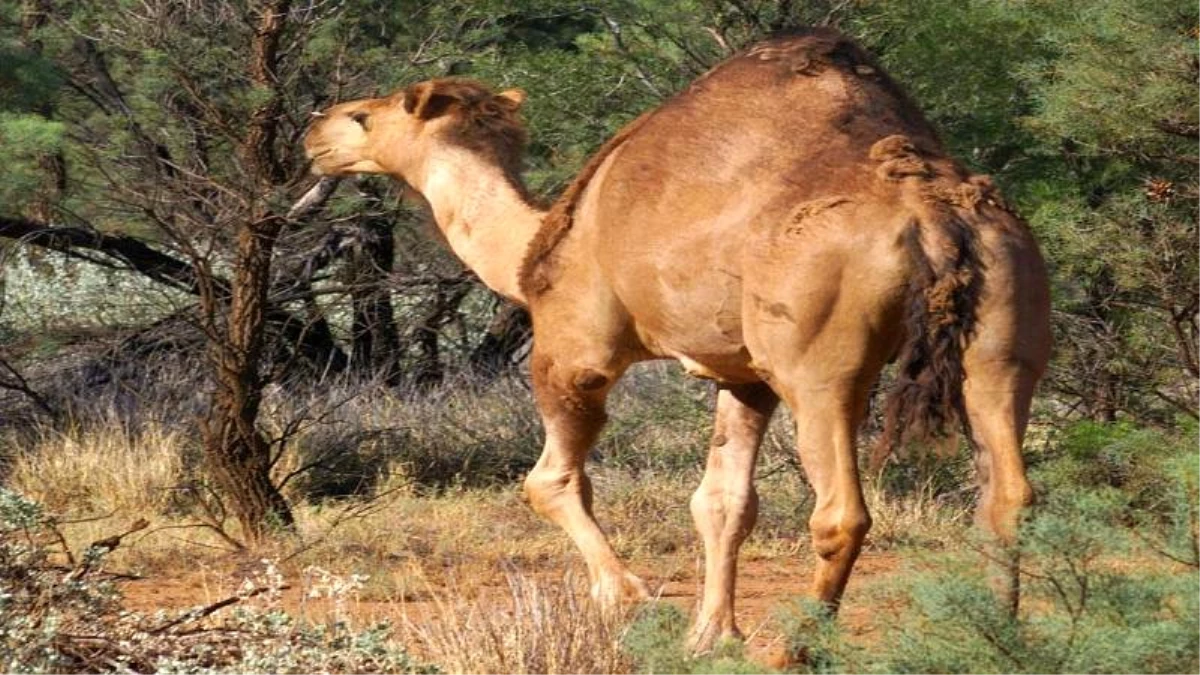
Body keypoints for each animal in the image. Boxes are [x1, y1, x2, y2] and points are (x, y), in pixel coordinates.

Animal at [302, 28, 1051, 648]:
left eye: (366, 116)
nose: (314, 131)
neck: (533, 245)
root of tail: (931, 212)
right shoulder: (741, 375)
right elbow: (722, 502)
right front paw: (711, 635)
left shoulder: (574, 349)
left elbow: (549, 480)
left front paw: (627, 596)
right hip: (1005, 326)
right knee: (1008, 492)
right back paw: (997, 635)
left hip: (820, 367)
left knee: (841, 511)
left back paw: (798, 648)